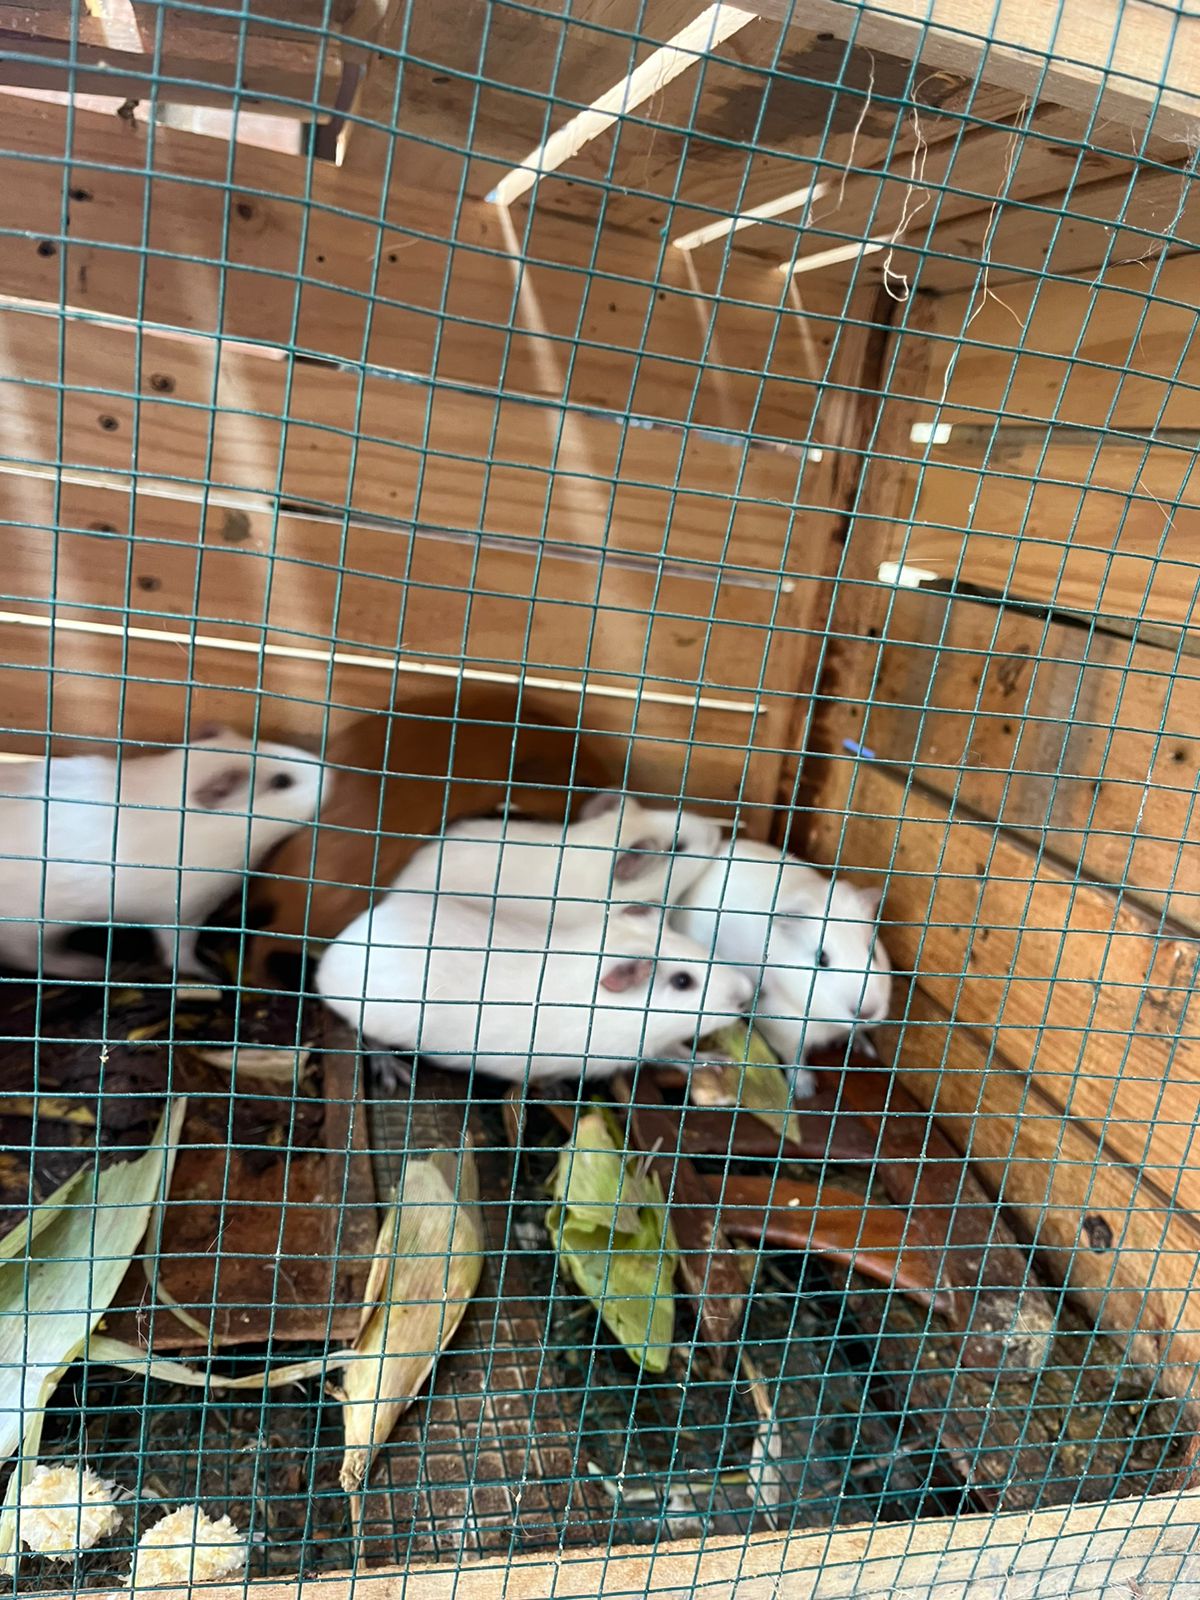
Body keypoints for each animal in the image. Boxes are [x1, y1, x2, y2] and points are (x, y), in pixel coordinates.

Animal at [0, 726, 325, 978]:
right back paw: (94, 966)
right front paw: (208, 972)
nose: (327, 771)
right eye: (282, 781)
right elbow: (179, 953)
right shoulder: (183, 913)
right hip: (33, 931)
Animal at [316, 894, 753, 1085]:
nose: (746, 993)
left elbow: (680, 1051)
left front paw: (718, 1060)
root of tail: (328, 963)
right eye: (682, 982)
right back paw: (395, 1074)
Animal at [674, 837, 892, 1100]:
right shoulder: (784, 1030)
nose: (868, 1011)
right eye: (821, 958)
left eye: (873, 951)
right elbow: (796, 1058)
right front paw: (805, 1091)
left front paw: (867, 1050)